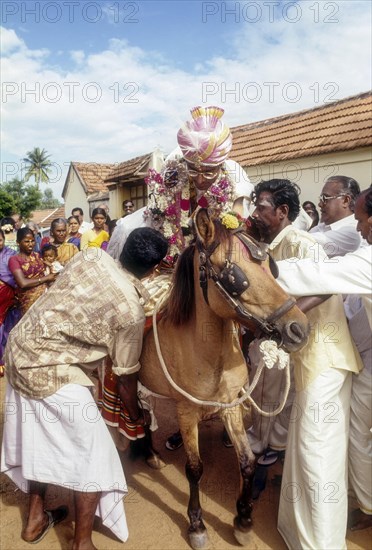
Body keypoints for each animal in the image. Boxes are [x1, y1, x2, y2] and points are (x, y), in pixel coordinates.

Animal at [139, 209, 308, 548]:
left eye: (270, 268)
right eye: (236, 278)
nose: (299, 328)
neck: (207, 352)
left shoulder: (230, 406)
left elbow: (247, 461)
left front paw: (243, 519)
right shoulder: (186, 411)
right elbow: (194, 469)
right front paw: (196, 524)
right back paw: (147, 451)